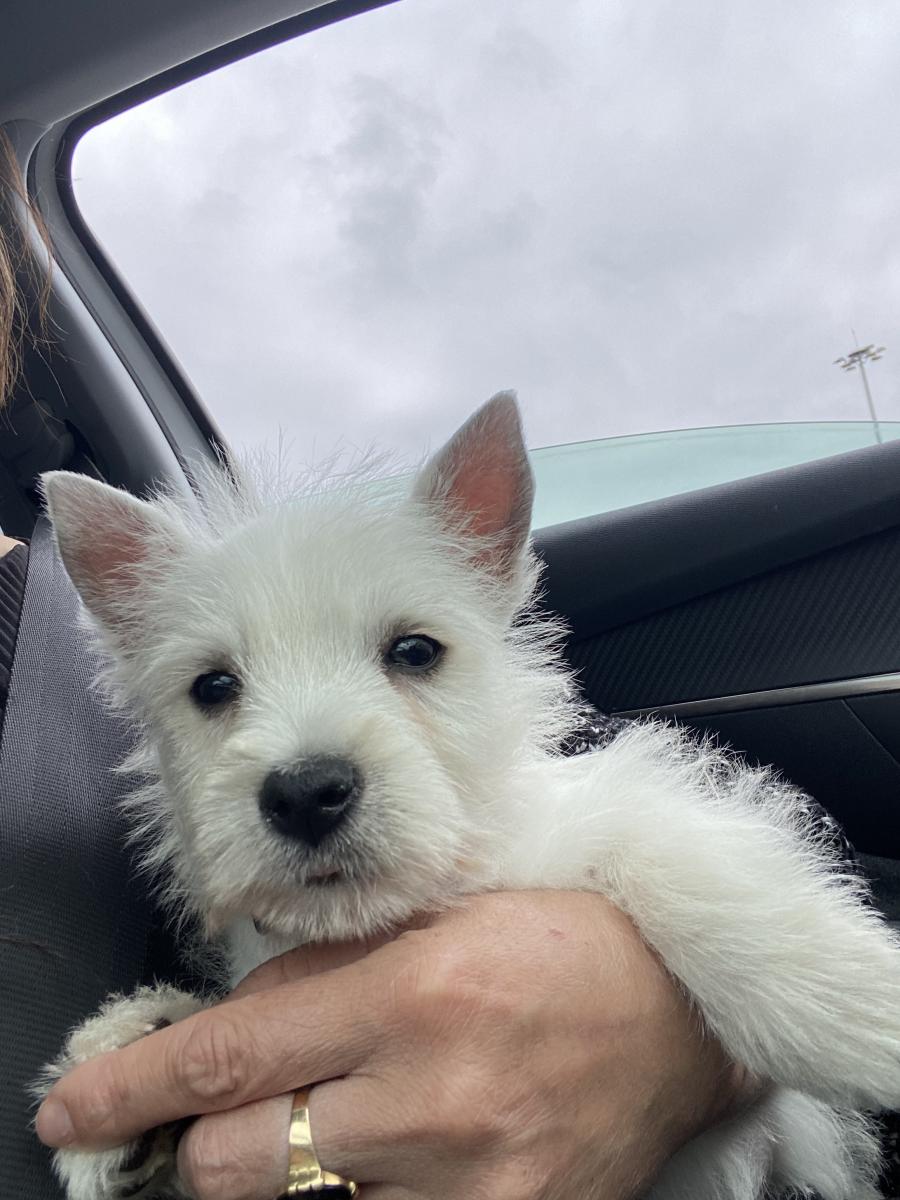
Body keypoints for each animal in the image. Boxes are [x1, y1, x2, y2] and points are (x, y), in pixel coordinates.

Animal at [40, 396, 900, 1200]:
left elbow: (673, 857)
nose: (306, 793)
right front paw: (126, 1057)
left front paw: (856, 1006)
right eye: (212, 686)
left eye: (416, 650)